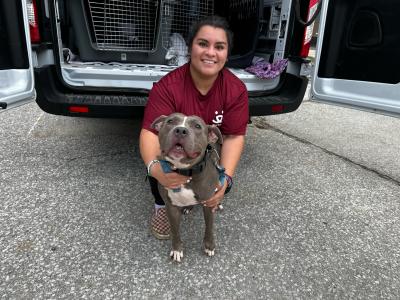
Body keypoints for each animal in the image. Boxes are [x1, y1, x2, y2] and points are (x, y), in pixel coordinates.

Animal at [151, 112, 223, 262]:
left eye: (197, 126)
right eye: (170, 121)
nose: (180, 130)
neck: (185, 172)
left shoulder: (208, 204)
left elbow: (209, 227)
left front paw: (209, 246)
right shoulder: (171, 207)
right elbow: (175, 230)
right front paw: (177, 249)